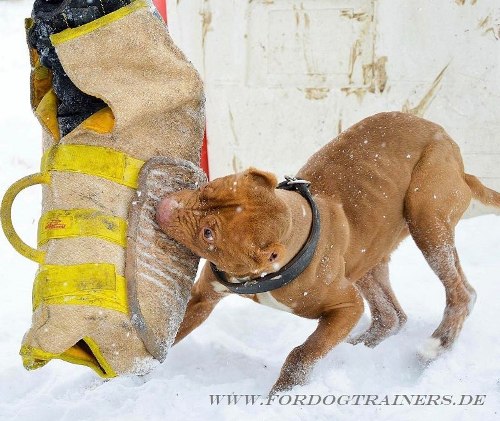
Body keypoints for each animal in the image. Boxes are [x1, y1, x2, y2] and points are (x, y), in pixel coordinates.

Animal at [156, 110, 500, 390]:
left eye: (208, 233)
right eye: (206, 189)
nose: (164, 205)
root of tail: (456, 157)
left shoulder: (346, 306)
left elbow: (303, 353)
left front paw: (281, 395)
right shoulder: (204, 296)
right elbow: (170, 334)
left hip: (426, 215)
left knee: (460, 292)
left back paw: (439, 344)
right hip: (369, 255)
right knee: (391, 315)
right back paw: (358, 348)